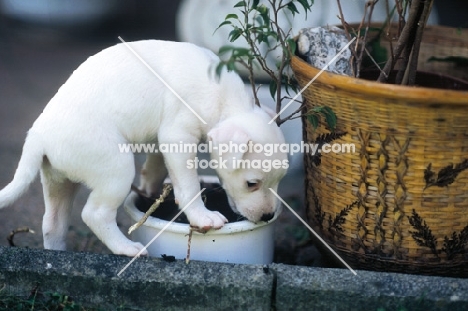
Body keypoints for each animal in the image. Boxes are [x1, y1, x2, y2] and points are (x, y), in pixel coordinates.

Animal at [0, 40, 288, 258]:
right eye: (252, 184)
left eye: (279, 181)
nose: (268, 216)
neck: (226, 101)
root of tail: (38, 135)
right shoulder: (177, 136)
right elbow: (188, 185)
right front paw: (202, 216)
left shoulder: (164, 140)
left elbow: (156, 166)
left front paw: (150, 190)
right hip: (116, 170)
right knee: (95, 214)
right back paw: (127, 248)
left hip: (57, 182)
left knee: (53, 223)